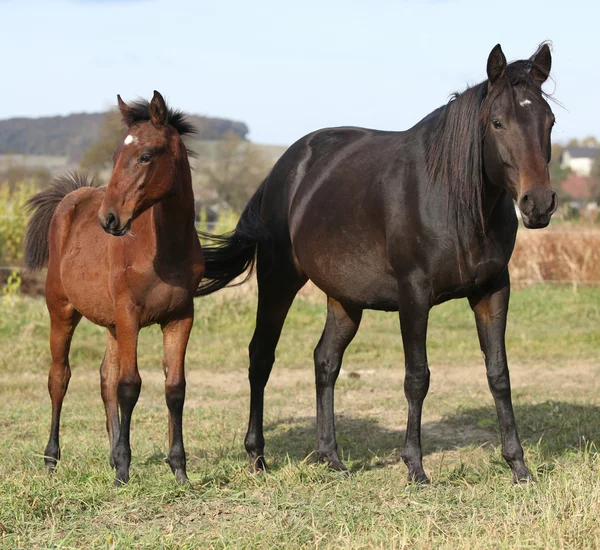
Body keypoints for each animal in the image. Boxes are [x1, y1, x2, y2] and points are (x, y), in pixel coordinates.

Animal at [24, 91, 204, 488]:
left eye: (145, 155)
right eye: (115, 155)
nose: (108, 219)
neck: (163, 249)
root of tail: (71, 197)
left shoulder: (180, 317)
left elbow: (175, 388)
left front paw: (179, 468)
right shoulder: (129, 314)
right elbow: (130, 386)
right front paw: (124, 470)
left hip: (109, 323)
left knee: (104, 377)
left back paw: (108, 455)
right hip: (62, 310)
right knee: (59, 377)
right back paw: (51, 459)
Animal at [197, 45, 556, 486]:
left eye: (549, 120)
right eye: (498, 122)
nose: (538, 204)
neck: (454, 199)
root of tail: (283, 169)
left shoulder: (492, 290)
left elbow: (499, 375)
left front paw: (518, 466)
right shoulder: (414, 295)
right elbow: (417, 377)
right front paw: (415, 467)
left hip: (344, 299)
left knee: (325, 362)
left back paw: (331, 457)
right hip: (278, 281)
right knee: (261, 356)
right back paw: (257, 456)